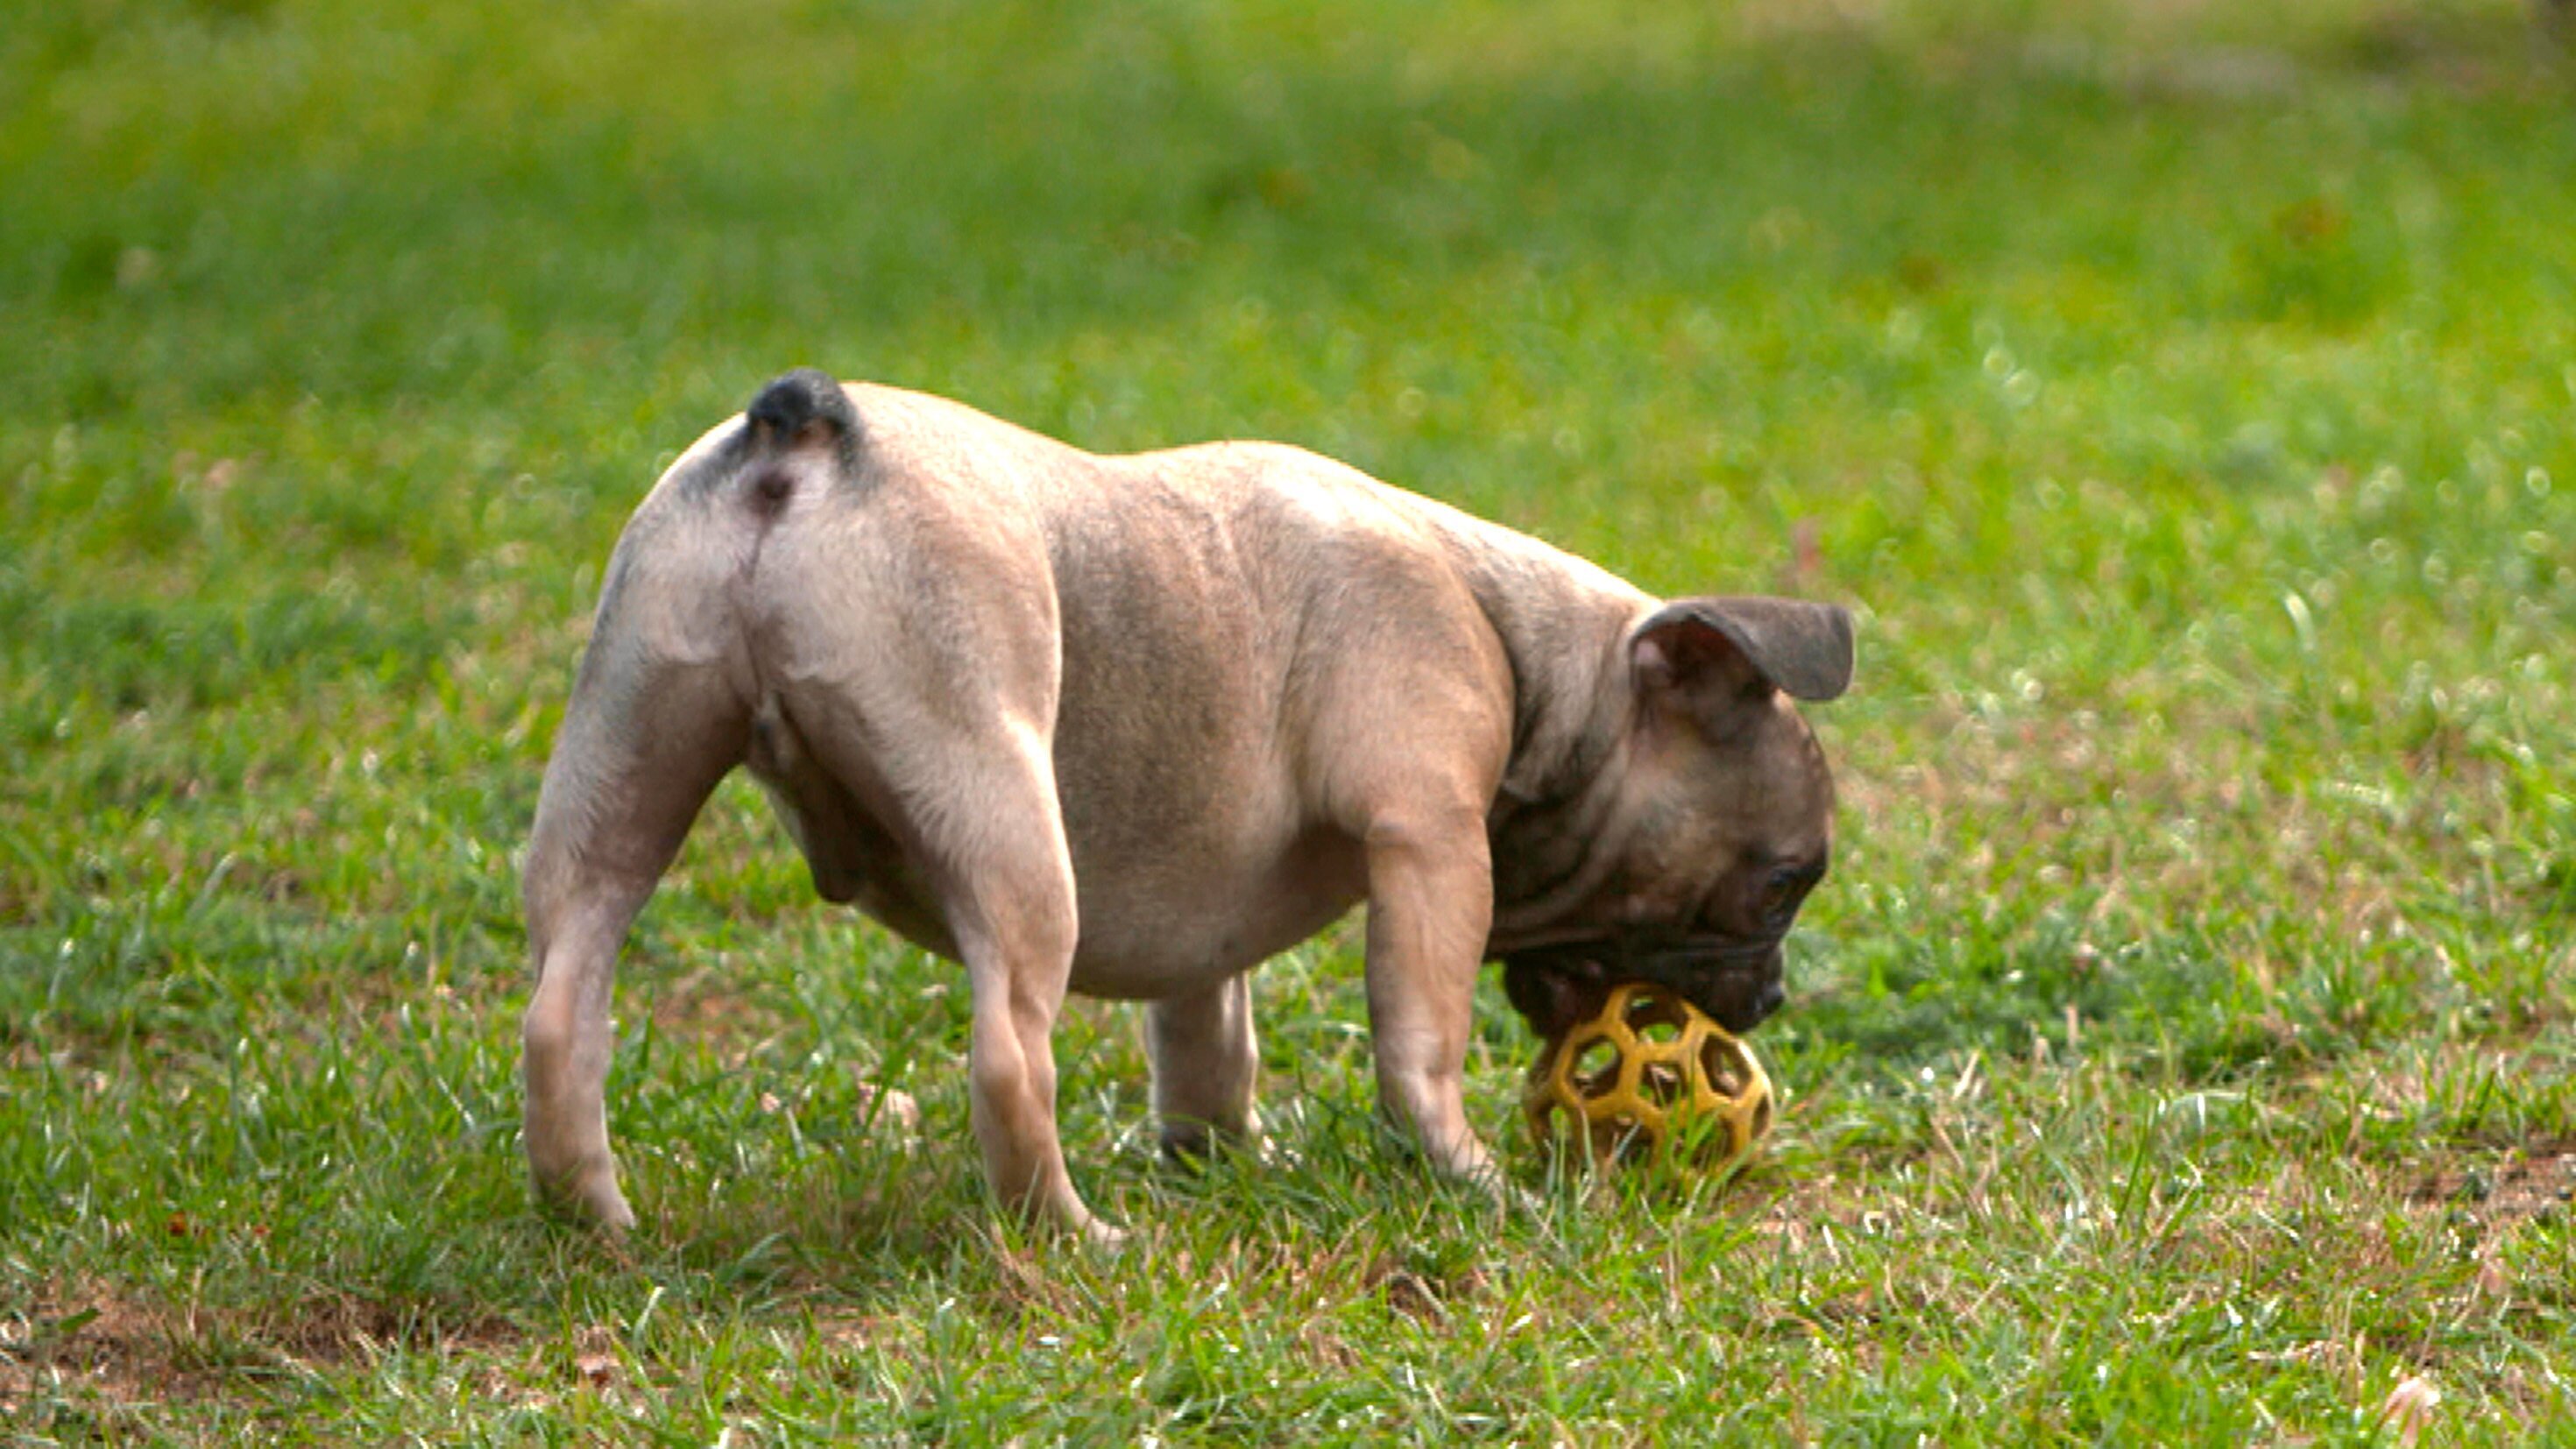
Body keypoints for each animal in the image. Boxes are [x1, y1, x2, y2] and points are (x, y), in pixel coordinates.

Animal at [527, 368, 1854, 1240]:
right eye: (1783, 884)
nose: (1775, 994)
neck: (1538, 659)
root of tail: (801, 429)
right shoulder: (1432, 845)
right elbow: (1419, 1041)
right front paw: (1470, 1177)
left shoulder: (1209, 935)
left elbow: (1210, 1034)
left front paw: (1219, 1159)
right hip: (1005, 815)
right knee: (1010, 1052)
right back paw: (1074, 1237)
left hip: (622, 769)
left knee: (563, 1004)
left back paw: (593, 1217)